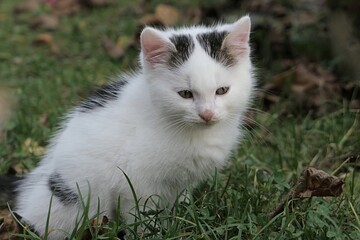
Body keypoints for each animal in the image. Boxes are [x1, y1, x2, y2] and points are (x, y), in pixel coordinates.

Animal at [11, 15, 253, 238]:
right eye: (185, 94)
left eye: (222, 90)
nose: (207, 114)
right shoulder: (134, 182)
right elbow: (141, 214)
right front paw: (152, 233)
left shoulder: (181, 182)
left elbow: (179, 202)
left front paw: (181, 220)